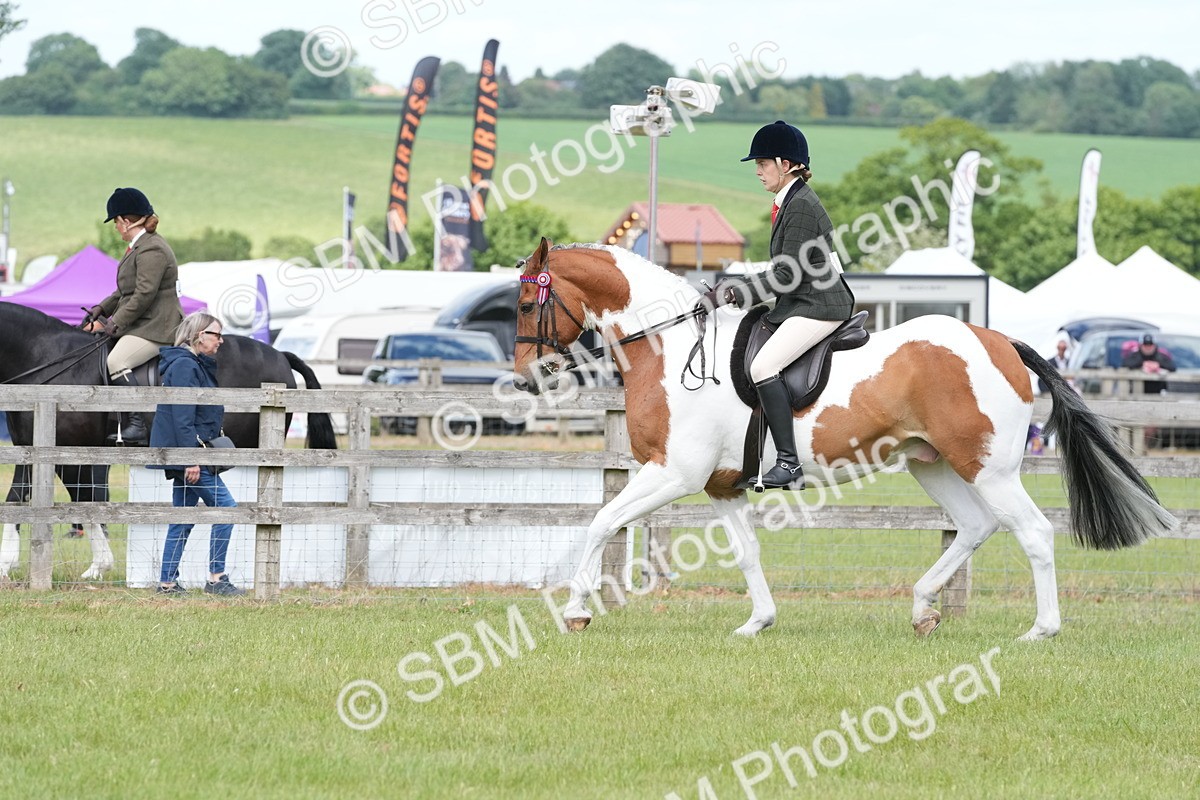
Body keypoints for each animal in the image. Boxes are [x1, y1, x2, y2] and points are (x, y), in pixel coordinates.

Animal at [0, 301, 337, 582]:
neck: (47, 358)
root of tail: (280, 355)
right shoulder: (36, 448)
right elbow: (45, 498)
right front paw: (96, 565)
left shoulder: (67, 451)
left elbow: (70, 499)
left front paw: (8, 564)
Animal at [511, 238, 1177, 640]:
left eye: (522, 303)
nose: (524, 380)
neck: (671, 345)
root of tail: (999, 341)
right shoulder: (721, 485)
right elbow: (746, 552)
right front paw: (758, 622)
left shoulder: (672, 473)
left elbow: (601, 521)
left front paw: (576, 611)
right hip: (931, 463)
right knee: (975, 526)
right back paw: (922, 609)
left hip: (989, 468)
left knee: (1033, 533)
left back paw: (1041, 630)